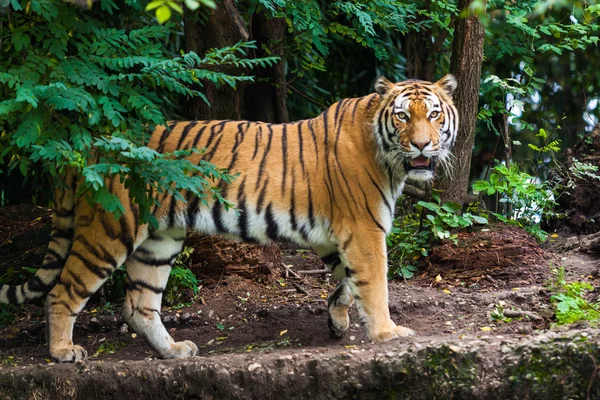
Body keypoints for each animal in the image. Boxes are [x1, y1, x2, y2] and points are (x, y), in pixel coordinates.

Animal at [0, 73, 458, 360]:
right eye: (403, 115)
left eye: (434, 115)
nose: (421, 145)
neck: (386, 153)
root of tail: (91, 147)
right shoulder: (363, 229)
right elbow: (375, 283)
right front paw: (386, 333)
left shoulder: (332, 234)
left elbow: (348, 280)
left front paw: (337, 318)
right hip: (109, 232)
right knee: (63, 292)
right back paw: (63, 352)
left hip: (158, 242)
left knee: (139, 304)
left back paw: (173, 352)